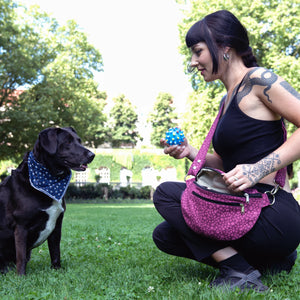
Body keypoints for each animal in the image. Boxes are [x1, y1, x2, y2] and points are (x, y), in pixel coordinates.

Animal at [0, 126, 94, 274]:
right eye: (67, 142)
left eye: (79, 141)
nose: (92, 155)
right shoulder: (21, 226)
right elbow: (20, 256)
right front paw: (21, 276)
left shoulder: (57, 225)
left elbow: (55, 252)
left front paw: (57, 270)